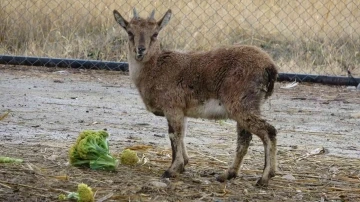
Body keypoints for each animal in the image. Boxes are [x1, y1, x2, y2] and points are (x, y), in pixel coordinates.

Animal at [112, 8, 278, 187]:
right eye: (130, 32)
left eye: (155, 33)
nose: (141, 50)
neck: (155, 68)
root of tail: (270, 68)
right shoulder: (182, 111)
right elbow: (182, 134)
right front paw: (183, 164)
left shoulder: (173, 107)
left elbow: (174, 135)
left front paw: (172, 169)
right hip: (247, 105)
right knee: (244, 139)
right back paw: (227, 174)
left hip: (241, 104)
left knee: (268, 131)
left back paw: (265, 177)